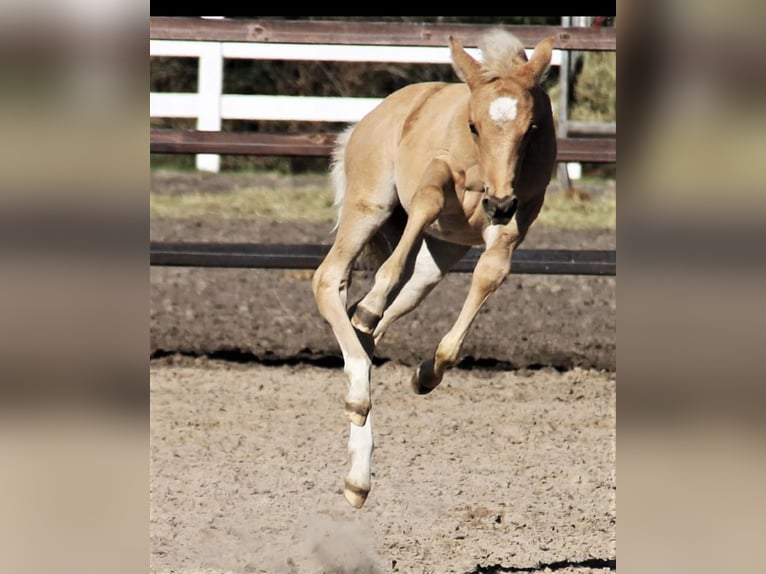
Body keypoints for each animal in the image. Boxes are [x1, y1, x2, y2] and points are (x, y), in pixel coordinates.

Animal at [312, 29, 560, 510]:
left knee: (374, 325)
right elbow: (425, 203)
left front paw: (426, 374)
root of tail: (368, 119)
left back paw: (358, 472)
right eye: (473, 125)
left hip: (439, 256)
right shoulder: (439, 174)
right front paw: (373, 303)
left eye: (531, 128)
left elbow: (491, 275)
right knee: (330, 281)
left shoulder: (515, 218)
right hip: (370, 204)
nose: (497, 203)